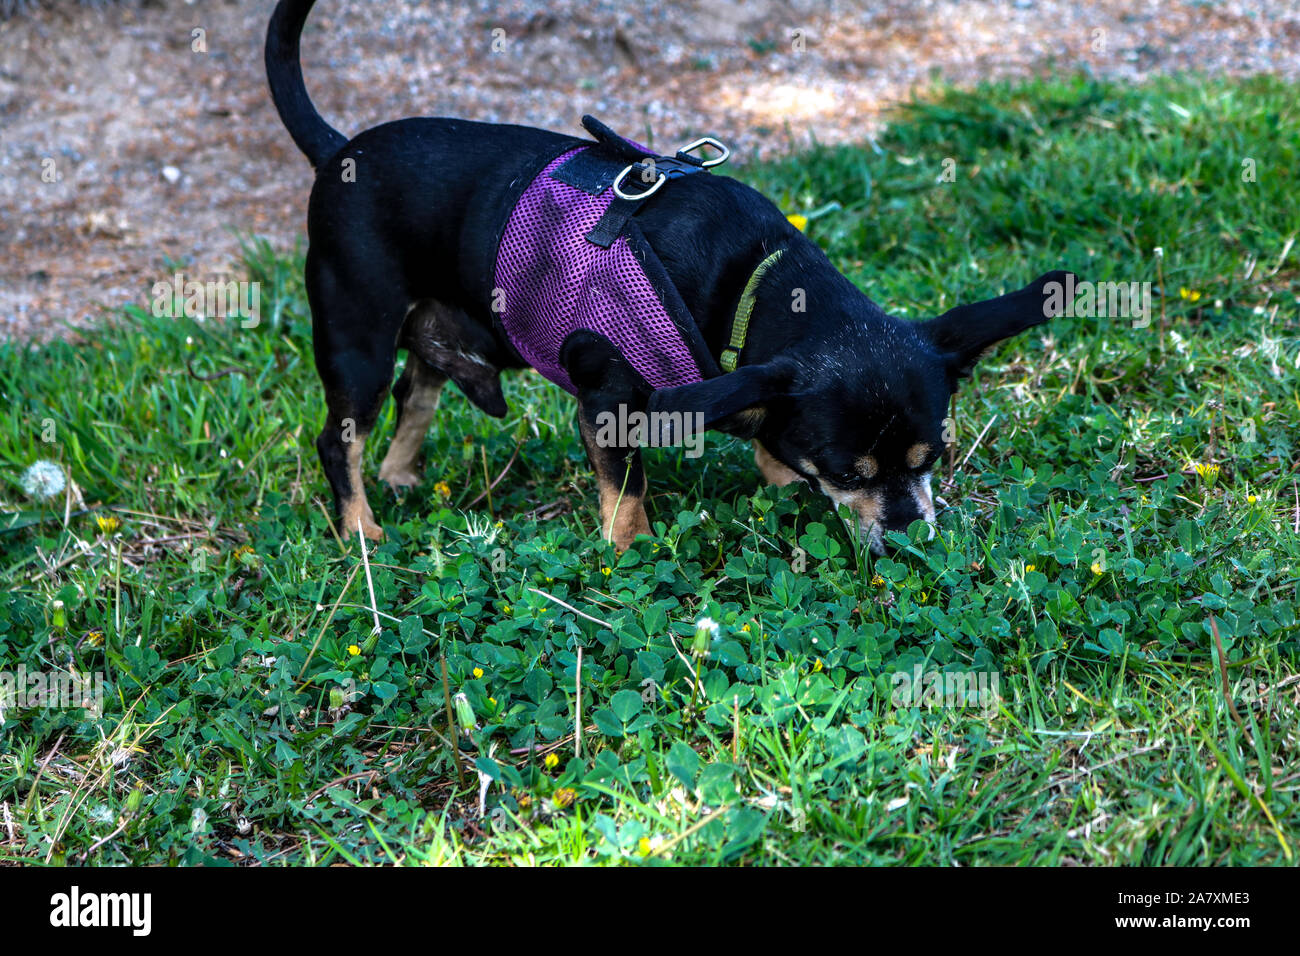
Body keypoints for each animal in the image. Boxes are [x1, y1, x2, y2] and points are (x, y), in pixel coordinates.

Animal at [261, 1, 1066, 554]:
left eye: (936, 457)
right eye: (849, 471)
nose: (907, 537)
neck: (747, 284)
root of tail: (336, 150)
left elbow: (766, 430)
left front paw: (778, 478)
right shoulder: (607, 403)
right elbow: (627, 490)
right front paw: (633, 550)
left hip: (430, 326)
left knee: (416, 392)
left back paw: (399, 478)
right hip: (356, 336)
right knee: (339, 439)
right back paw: (362, 532)